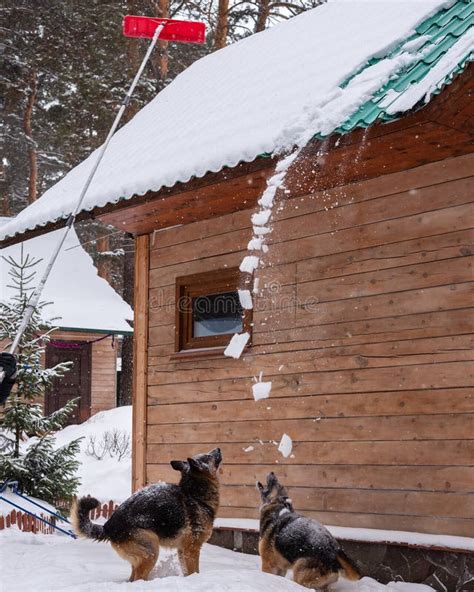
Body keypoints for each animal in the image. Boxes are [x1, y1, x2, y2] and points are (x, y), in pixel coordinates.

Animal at [71, 448, 222, 584]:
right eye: (209, 456)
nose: (219, 449)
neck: (194, 494)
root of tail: (108, 526)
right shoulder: (191, 550)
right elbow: (194, 571)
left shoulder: (182, 551)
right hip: (151, 550)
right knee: (138, 578)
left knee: (133, 578)